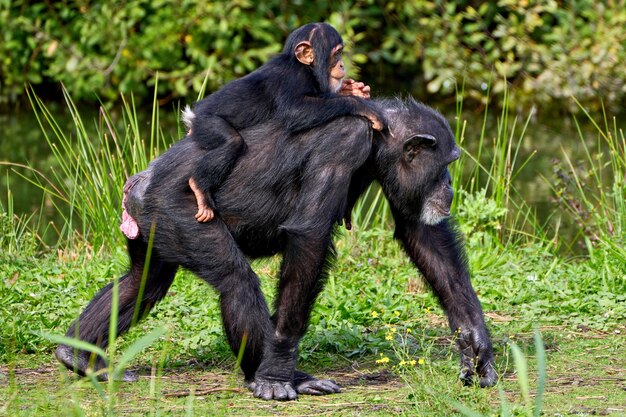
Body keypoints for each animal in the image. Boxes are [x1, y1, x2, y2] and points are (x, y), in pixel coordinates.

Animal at [56, 96, 494, 398]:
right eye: (446, 164)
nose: (450, 185)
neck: (378, 134)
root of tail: (137, 186)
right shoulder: (342, 144)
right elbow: (309, 236)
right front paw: (277, 369)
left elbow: (422, 233)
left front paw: (476, 345)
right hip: (178, 214)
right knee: (236, 282)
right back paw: (279, 377)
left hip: (149, 229)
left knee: (143, 281)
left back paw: (78, 356)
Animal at [179, 22, 380, 224]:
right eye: (337, 53)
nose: (342, 64)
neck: (306, 68)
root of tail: (192, 115)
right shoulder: (293, 78)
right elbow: (296, 110)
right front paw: (362, 105)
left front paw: (352, 89)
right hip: (205, 122)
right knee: (231, 142)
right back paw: (200, 189)